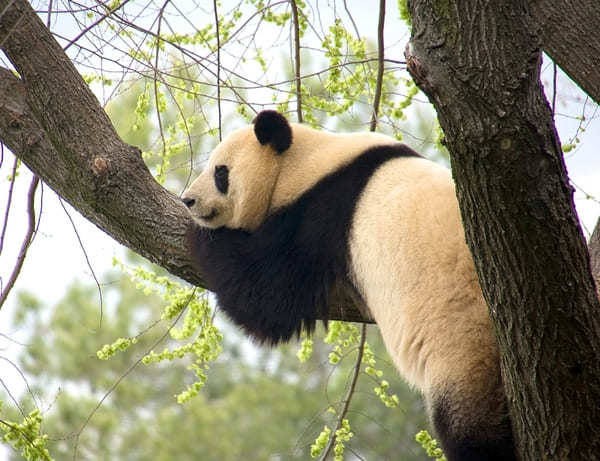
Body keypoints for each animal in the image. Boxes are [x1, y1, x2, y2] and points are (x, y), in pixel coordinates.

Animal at [180, 109, 512, 458]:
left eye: (220, 172)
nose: (188, 200)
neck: (305, 164)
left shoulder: (320, 216)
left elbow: (266, 300)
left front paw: (205, 238)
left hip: (462, 340)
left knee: (467, 425)